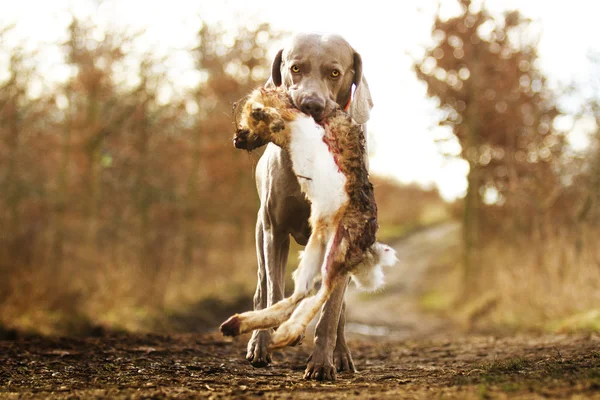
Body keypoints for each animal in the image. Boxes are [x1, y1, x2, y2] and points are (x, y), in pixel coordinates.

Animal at [223, 87, 396, 360]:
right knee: (301, 296)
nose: (236, 140)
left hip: (330, 253)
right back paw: (255, 328)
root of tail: (367, 243)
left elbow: (276, 120)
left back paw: (272, 332)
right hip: (317, 253)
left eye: (245, 123)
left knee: (313, 297)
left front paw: (264, 113)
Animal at [241, 32, 372, 380]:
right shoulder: (274, 232)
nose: (311, 105)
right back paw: (257, 344)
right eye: (295, 68)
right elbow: (274, 291)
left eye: (335, 73)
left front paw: (322, 364)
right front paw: (267, 339)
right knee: (262, 288)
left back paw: (342, 356)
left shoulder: (342, 238)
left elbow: (330, 312)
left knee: (340, 310)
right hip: (260, 235)